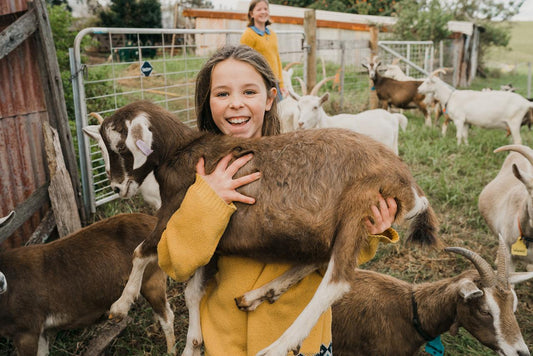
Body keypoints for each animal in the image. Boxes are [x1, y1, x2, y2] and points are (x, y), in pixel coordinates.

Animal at [0, 214, 175, 356]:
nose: (2, 282)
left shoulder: (26, 330)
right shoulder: (39, 330)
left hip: (152, 278)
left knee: (167, 315)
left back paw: (170, 351)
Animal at [84, 100, 440, 356]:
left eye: (119, 147)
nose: (116, 187)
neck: (183, 152)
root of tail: (407, 183)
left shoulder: (174, 211)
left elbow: (141, 251)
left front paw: (120, 305)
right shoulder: (209, 234)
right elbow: (192, 290)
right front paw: (193, 344)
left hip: (359, 205)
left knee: (336, 281)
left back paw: (277, 346)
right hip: (336, 227)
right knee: (319, 259)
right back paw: (259, 294)